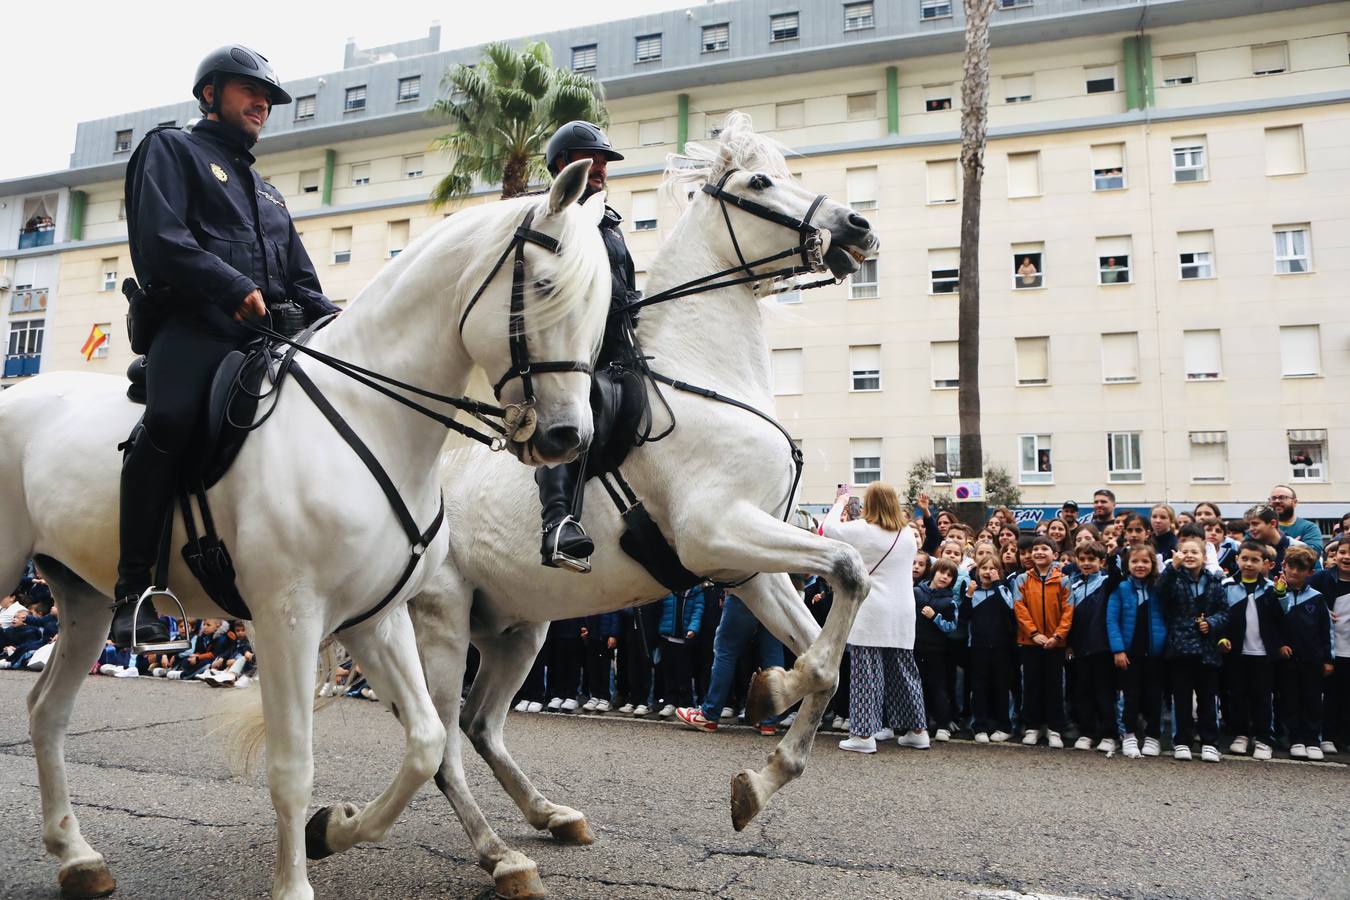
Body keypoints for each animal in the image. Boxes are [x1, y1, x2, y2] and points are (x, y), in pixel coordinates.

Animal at [0, 161, 610, 900]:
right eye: (545, 288)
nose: (568, 438)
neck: (368, 414)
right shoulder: (287, 617)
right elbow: (293, 765)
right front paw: (296, 878)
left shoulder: (375, 617)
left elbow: (428, 741)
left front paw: (334, 829)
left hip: (86, 599)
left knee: (47, 711)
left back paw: (77, 856)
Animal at [396, 118, 885, 895]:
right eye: (759, 184)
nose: (858, 227)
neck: (705, 375)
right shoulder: (716, 535)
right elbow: (846, 568)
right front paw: (774, 690)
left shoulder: (748, 565)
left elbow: (830, 651)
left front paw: (765, 752)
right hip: (440, 623)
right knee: (444, 744)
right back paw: (501, 857)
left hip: (518, 630)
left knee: (480, 726)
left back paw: (551, 816)